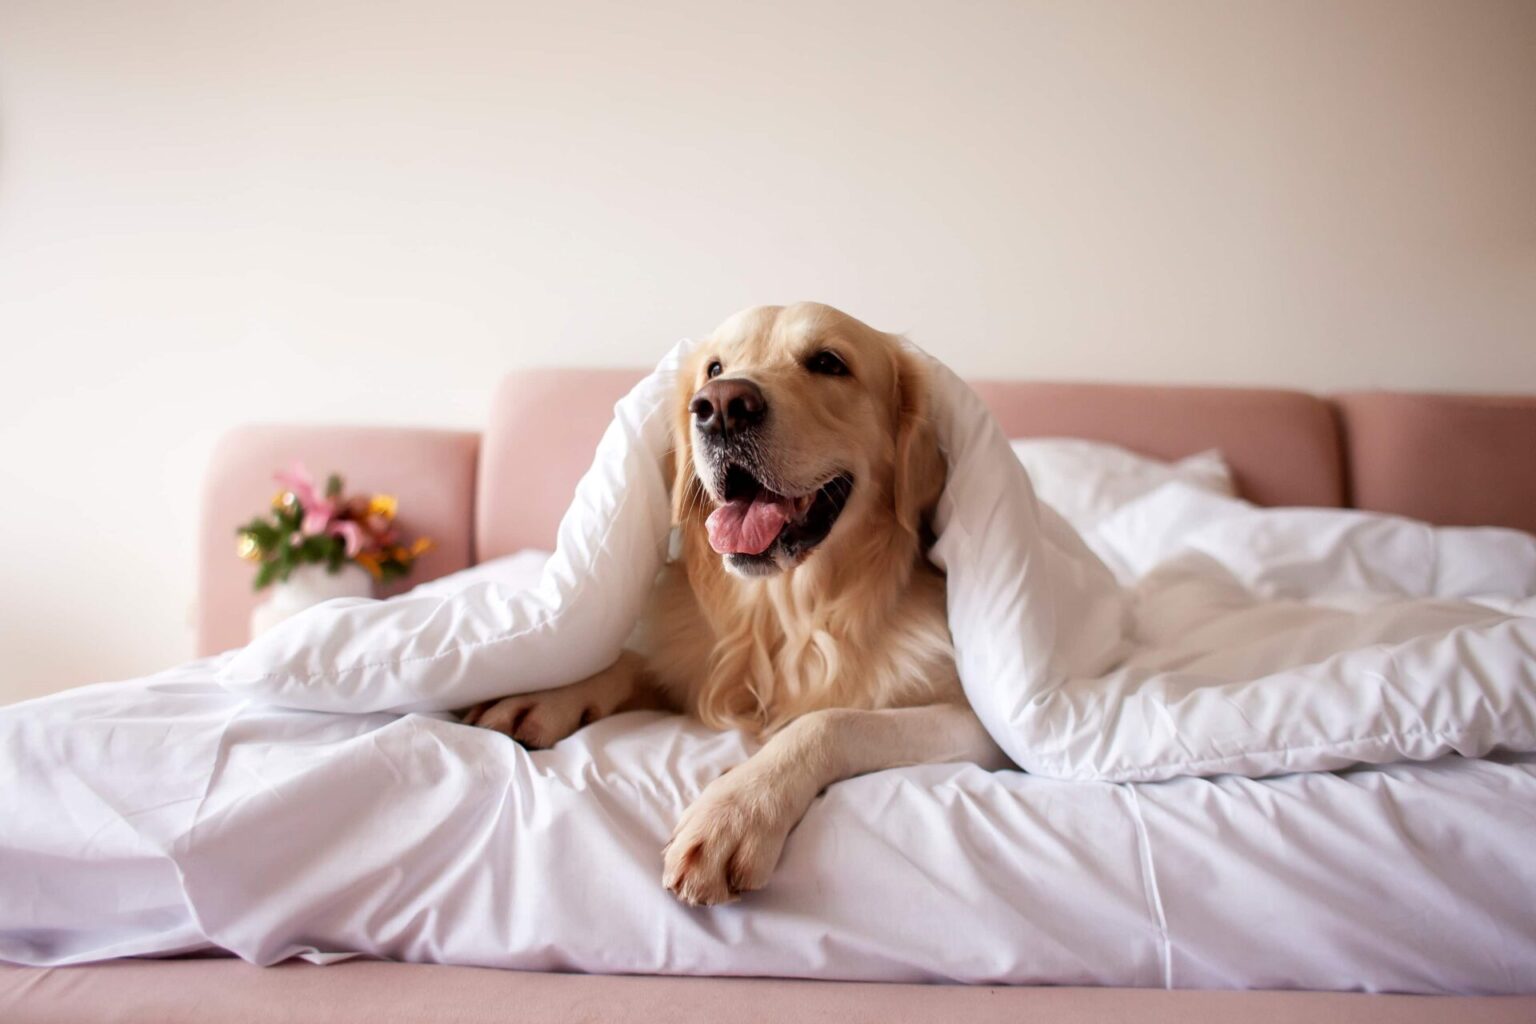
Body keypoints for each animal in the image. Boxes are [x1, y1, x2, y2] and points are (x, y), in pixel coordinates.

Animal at [457, 302, 1007, 902]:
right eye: (715, 368)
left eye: (828, 362)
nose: (720, 407)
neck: (784, 617)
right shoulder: (691, 663)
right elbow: (631, 661)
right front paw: (545, 695)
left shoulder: (980, 727)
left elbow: (830, 721)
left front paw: (737, 808)